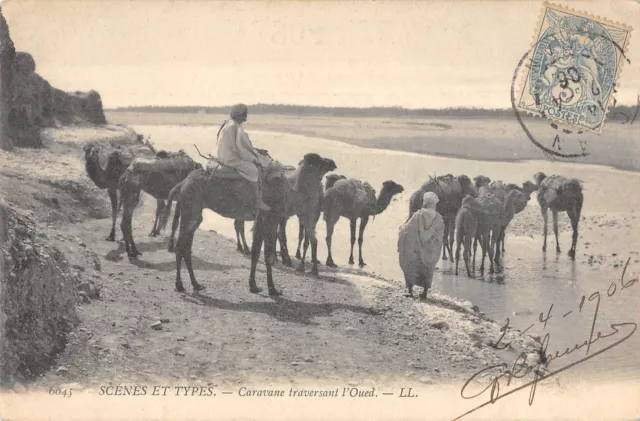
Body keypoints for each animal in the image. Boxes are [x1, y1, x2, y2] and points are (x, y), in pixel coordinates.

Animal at [161, 153, 336, 294]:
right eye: (320, 160)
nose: (333, 162)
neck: (289, 193)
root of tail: (183, 183)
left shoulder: (267, 219)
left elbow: (262, 253)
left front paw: (262, 287)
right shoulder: (267, 216)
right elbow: (262, 252)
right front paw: (264, 288)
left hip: (194, 212)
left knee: (186, 247)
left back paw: (196, 284)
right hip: (191, 207)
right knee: (180, 247)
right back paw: (180, 285)